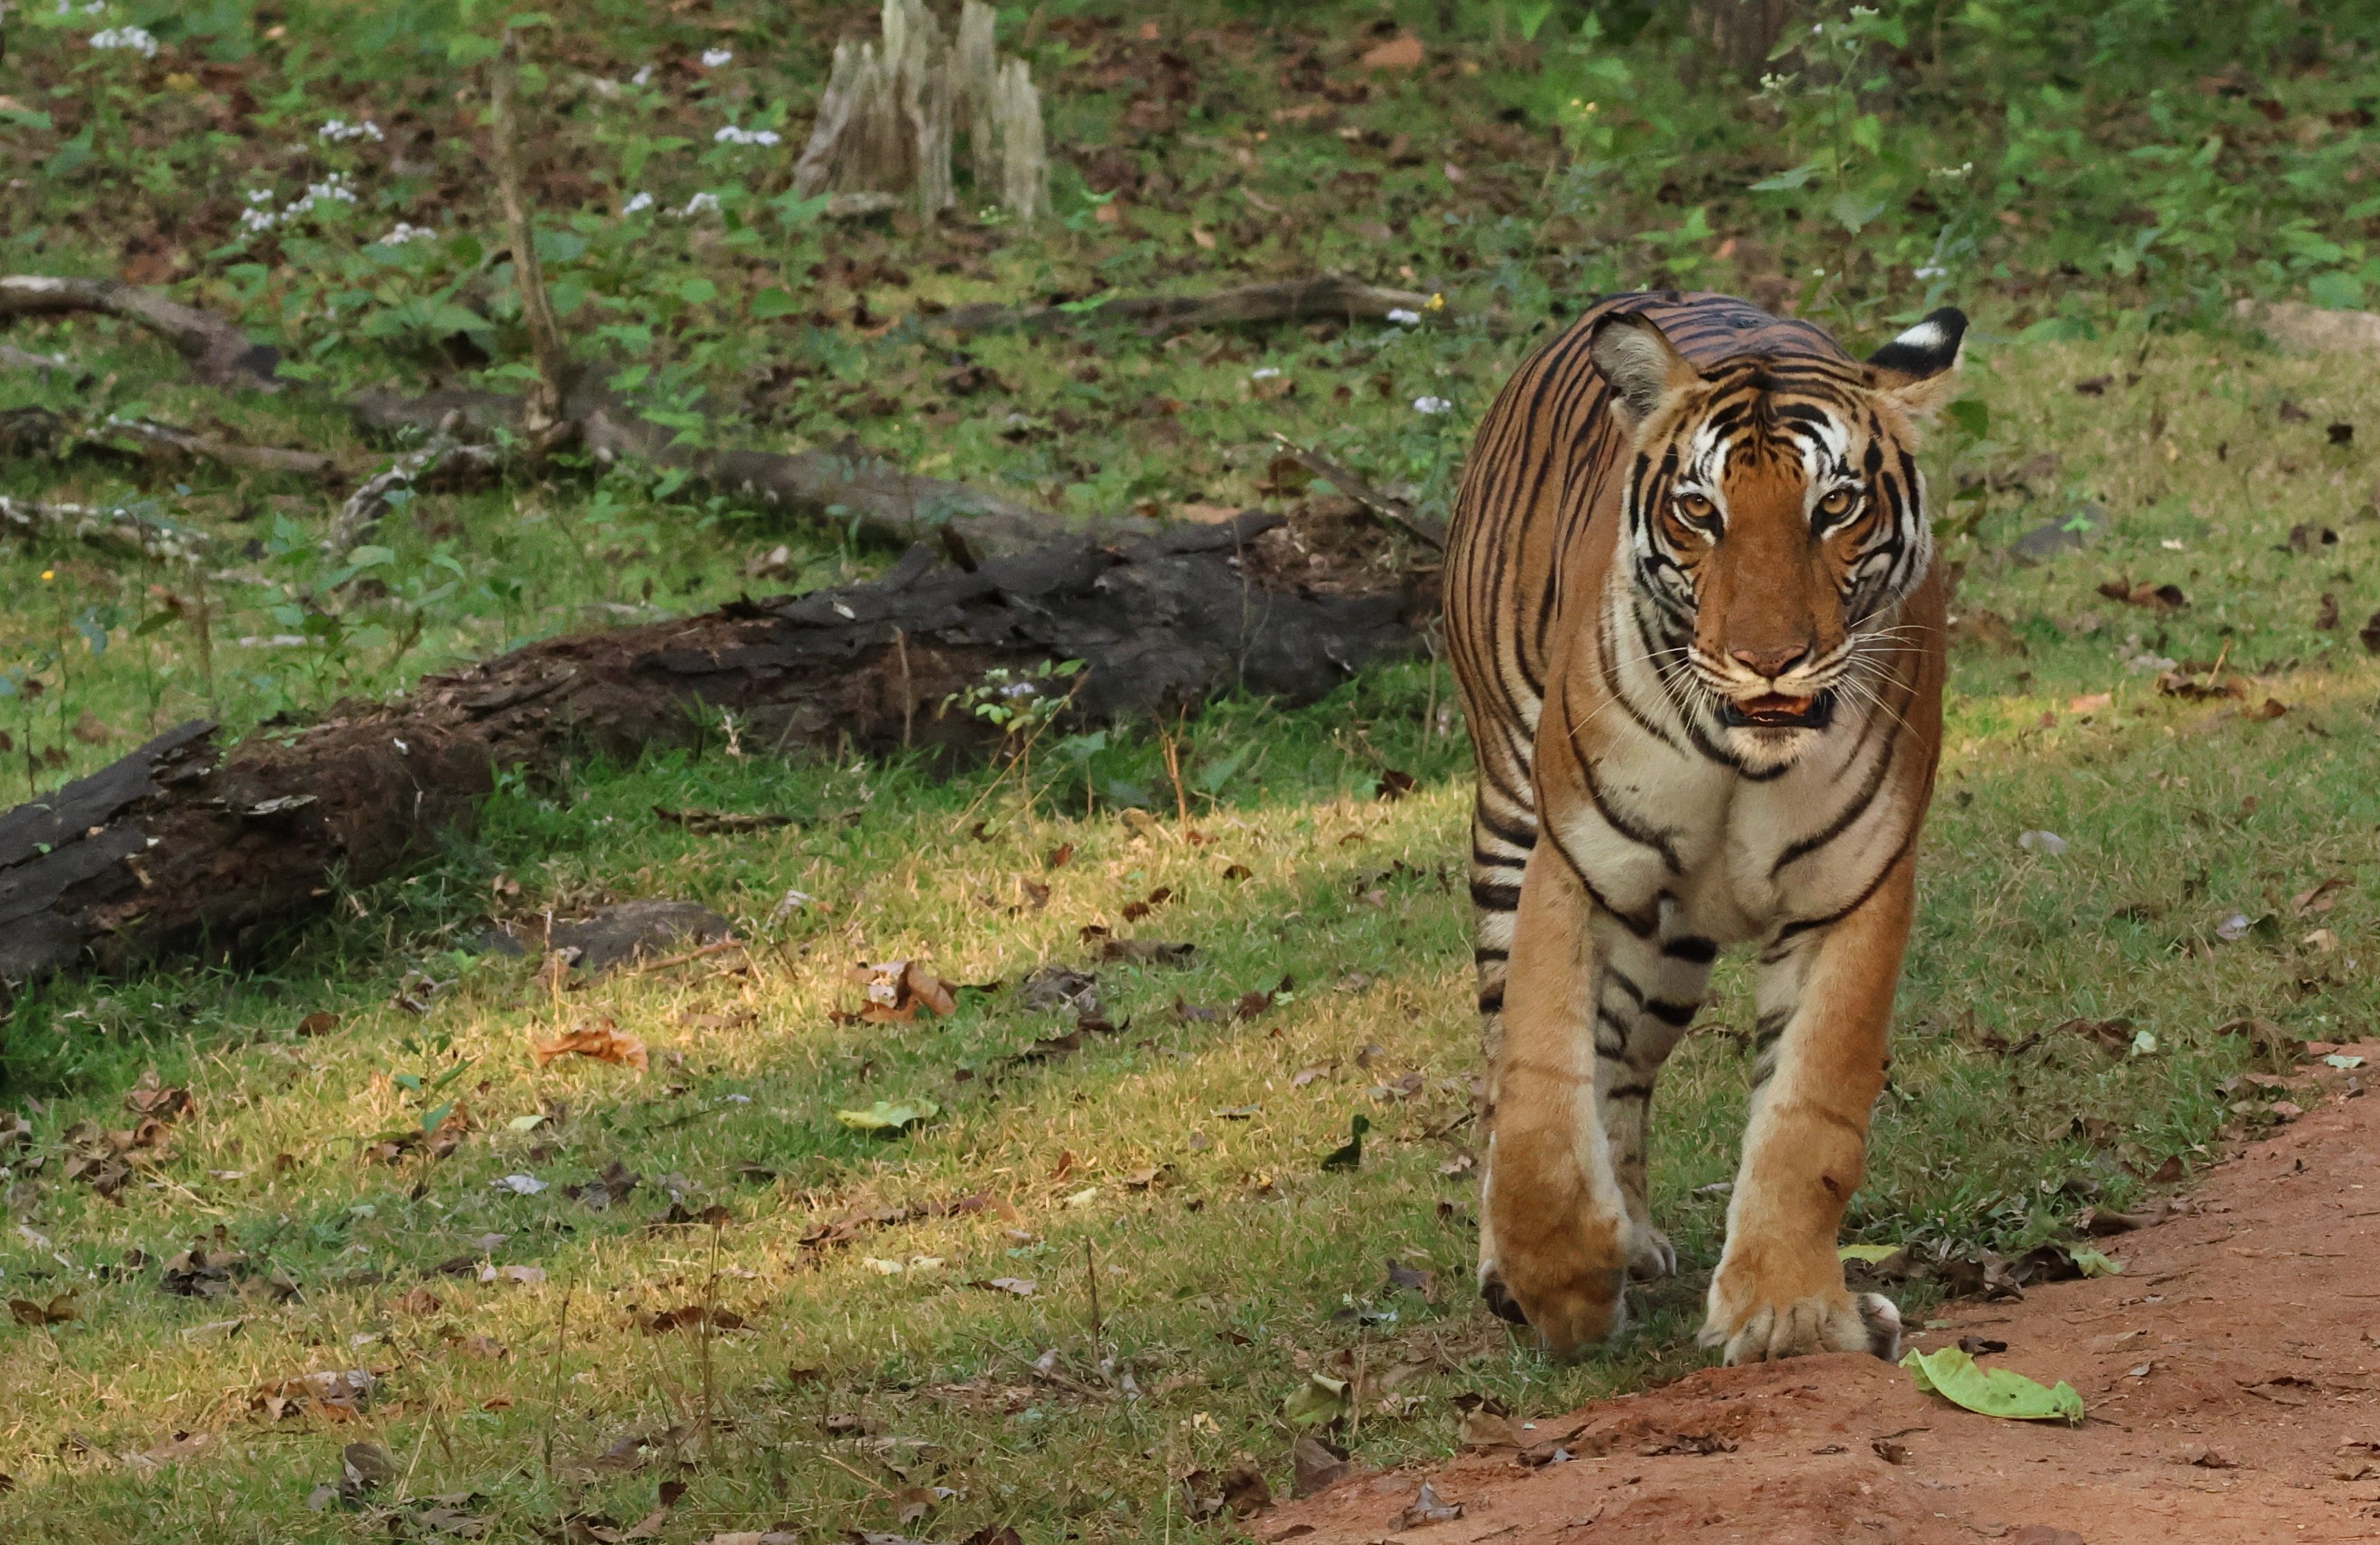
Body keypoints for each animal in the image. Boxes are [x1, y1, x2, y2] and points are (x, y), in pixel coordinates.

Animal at [1443, 289, 1966, 1364]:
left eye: (1834, 507)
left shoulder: (1853, 890)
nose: (1767, 659)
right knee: (1513, 1058)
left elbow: (1809, 1114)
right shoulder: (1577, 867)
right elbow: (1540, 1094)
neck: (1742, 760)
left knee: (1629, 1067)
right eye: (1700, 512)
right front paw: (1559, 1287)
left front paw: (1786, 1311)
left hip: (1668, 946)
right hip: (1511, 821)